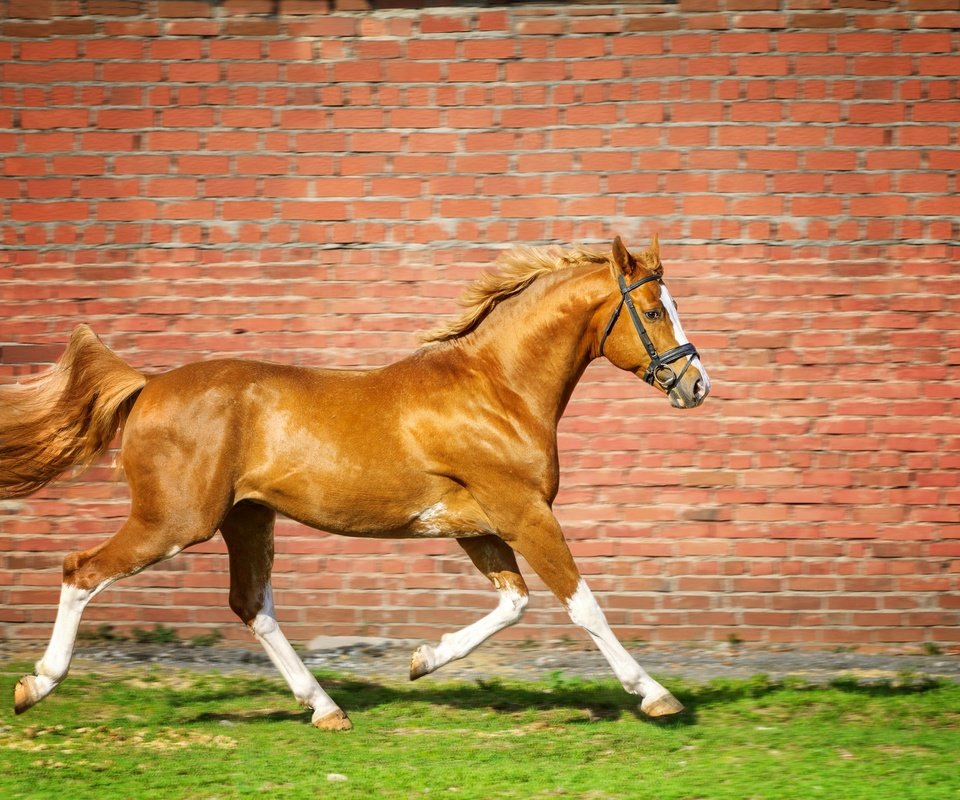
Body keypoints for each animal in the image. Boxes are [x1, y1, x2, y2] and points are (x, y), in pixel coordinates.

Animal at [0, 234, 704, 728]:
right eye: (651, 310)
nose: (696, 384)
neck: (496, 389)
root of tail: (147, 386)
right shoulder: (524, 513)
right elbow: (581, 604)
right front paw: (657, 696)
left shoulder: (478, 527)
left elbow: (514, 603)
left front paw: (422, 661)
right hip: (174, 523)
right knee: (81, 569)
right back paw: (35, 686)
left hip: (245, 518)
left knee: (252, 606)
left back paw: (326, 708)